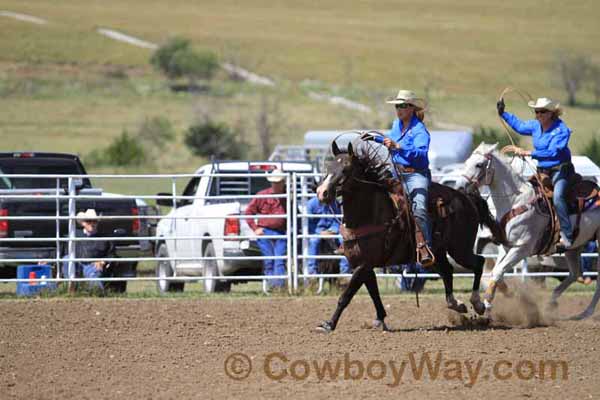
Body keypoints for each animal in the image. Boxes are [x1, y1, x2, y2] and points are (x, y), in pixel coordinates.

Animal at [316, 139, 508, 332]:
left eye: (346, 169)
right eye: (328, 167)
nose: (322, 192)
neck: (370, 213)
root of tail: (466, 197)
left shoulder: (363, 265)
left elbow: (346, 295)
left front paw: (329, 324)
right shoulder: (364, 265)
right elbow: (374, 293)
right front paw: (380, 319)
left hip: (460, 249)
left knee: (479, 262)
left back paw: (478, 303)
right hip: (437, 253)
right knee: (448, 271)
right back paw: (456, 303)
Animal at [458, 142, 596, 320]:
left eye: (479, 164)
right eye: (467, 161)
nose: (460, 186)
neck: (516, 201)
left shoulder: (521, 249)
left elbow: (498, 271)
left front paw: (485, 304)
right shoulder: (507, 246)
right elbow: (496, 271)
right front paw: (499, 298)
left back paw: (586, 312)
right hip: (574, 247)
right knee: (574, 274)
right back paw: (553, 303)